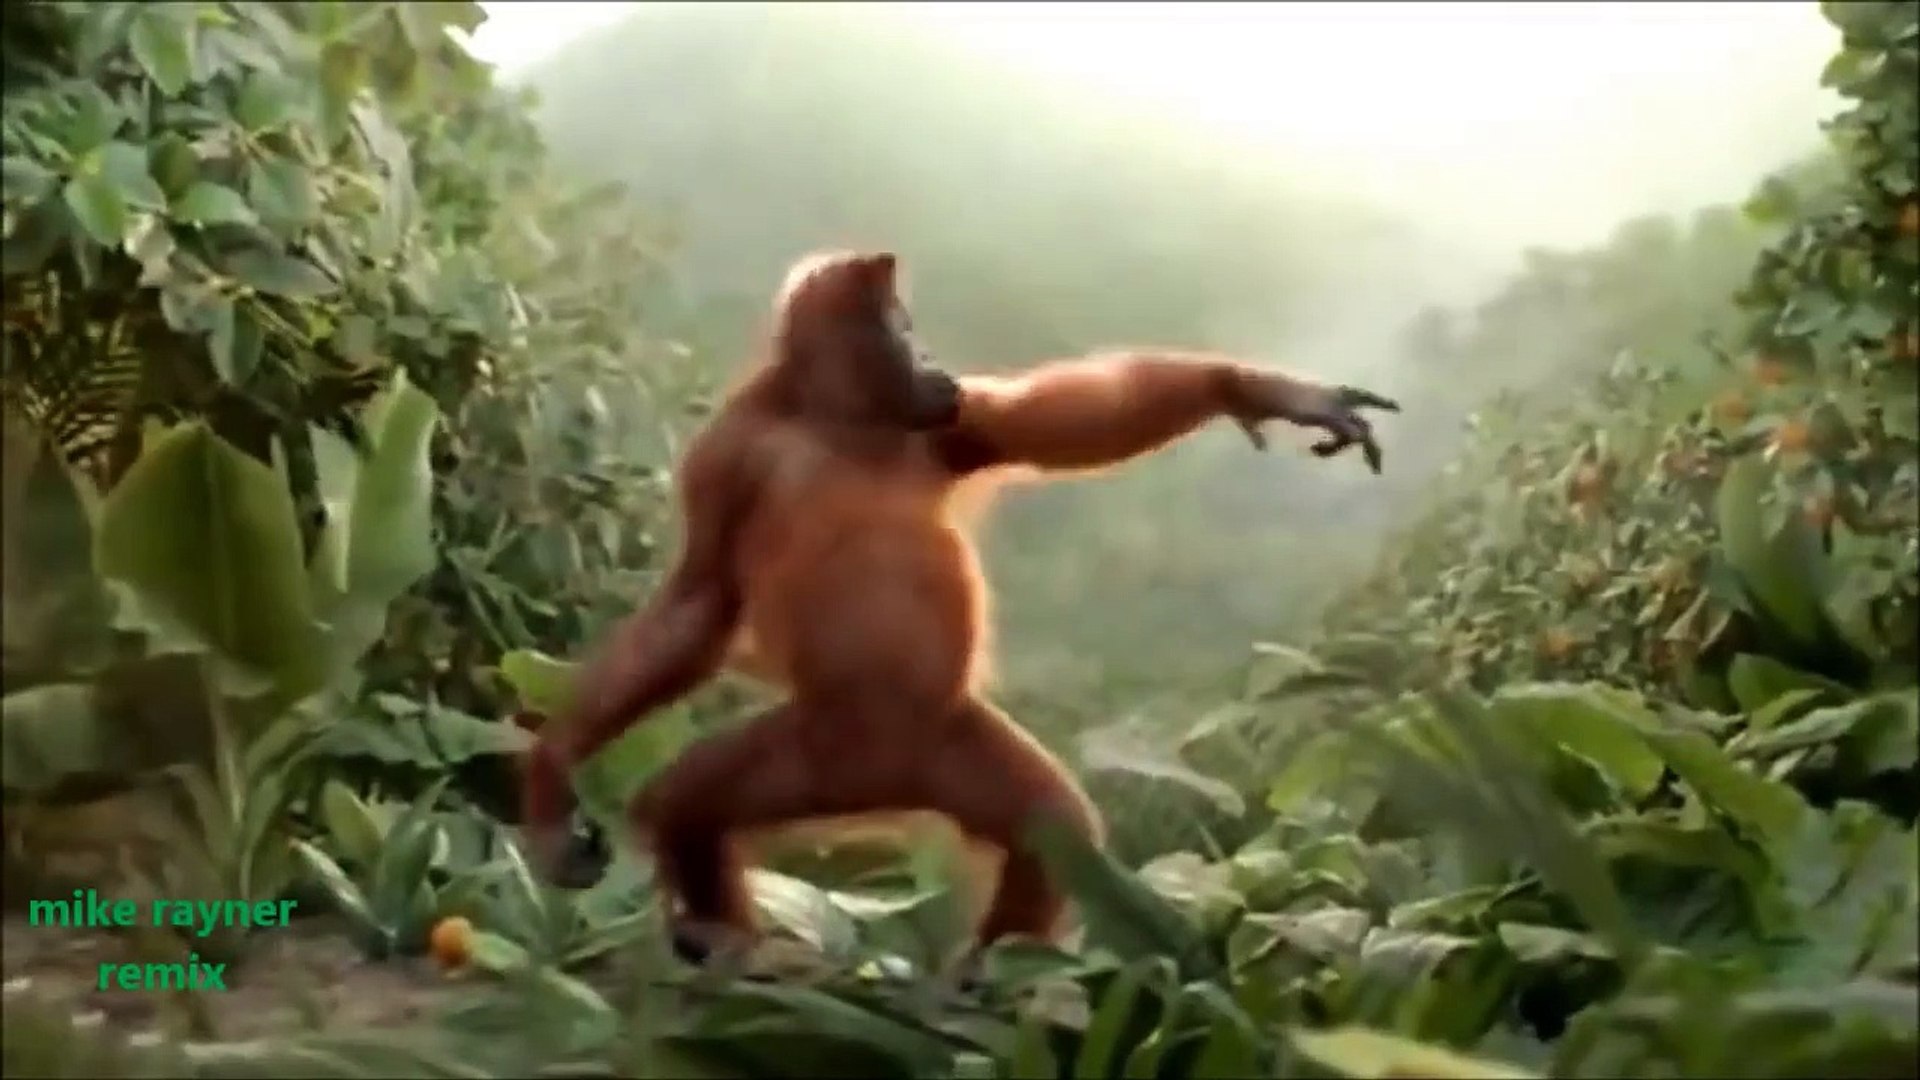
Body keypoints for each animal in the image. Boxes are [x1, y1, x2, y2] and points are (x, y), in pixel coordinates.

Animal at [520, 248, 1399, 968]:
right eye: (901, 328)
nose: (929, 355)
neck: (835, 420)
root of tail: (877, 785)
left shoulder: (953, 420)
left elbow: (1061, 422)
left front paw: (1254, 390)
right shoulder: (728, 454)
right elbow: (699, 600)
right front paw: (552, 772)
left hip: (939, 745)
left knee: (1051, 833)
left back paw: (994, 974)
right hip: (814, 750)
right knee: (686, 806)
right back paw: (725, 944)